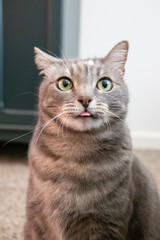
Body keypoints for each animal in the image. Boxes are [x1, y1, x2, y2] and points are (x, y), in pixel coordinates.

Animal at [23, 41, 160, 240]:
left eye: (105, 84)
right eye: (65, 83)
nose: (85, 99)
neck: (77, 156)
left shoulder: (108, 222)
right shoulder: (36, 219)